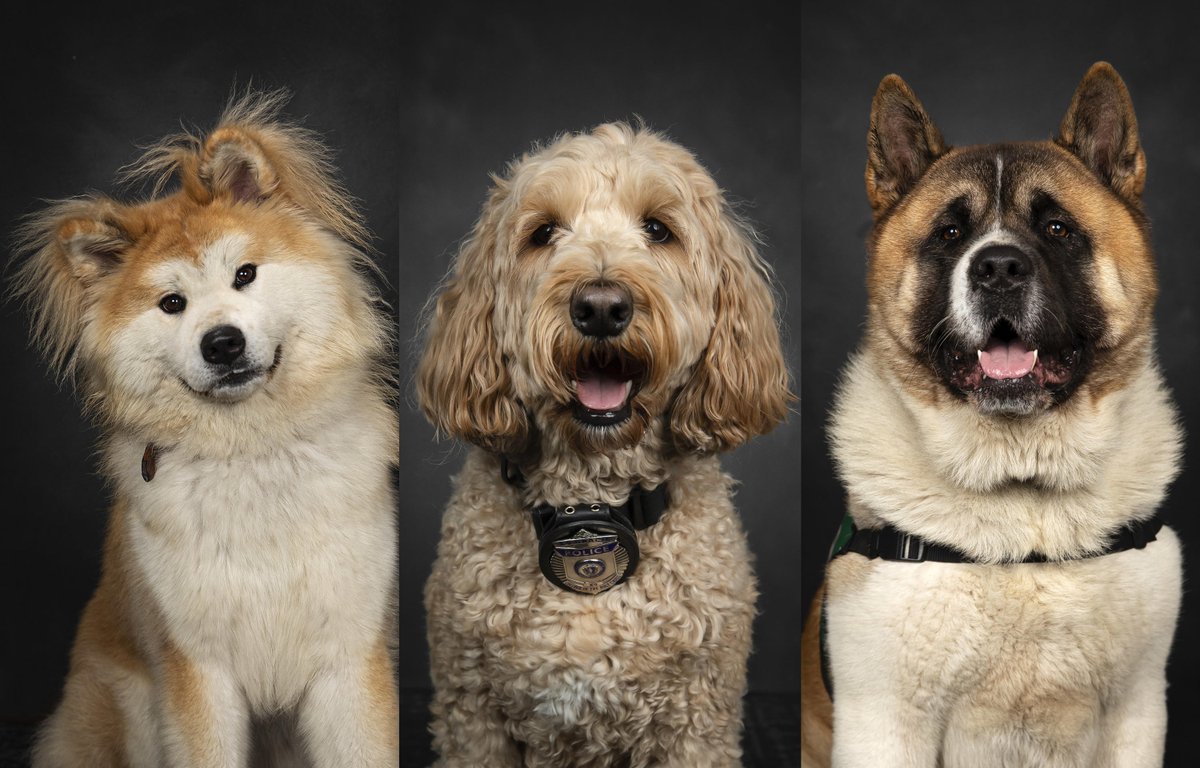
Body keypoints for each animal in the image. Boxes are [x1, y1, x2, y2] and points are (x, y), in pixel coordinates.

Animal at [11, 91, 400, 768]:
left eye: (245, 274)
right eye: (172, 304)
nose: (222, 343)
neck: (253, 453)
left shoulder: (350, 658)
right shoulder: (197, 669)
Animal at [417, 123, 792, 763]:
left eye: (658, 230)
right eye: (543, 233)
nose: (599, 306)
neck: (592, 500)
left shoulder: (699, 719)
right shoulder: (472, 714)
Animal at [801, 64, 1185, 768]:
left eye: (1057, 228)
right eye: (950, 233)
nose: (999, 268)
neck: (1024, 500)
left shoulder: (1137, 712)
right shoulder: (885, 723)